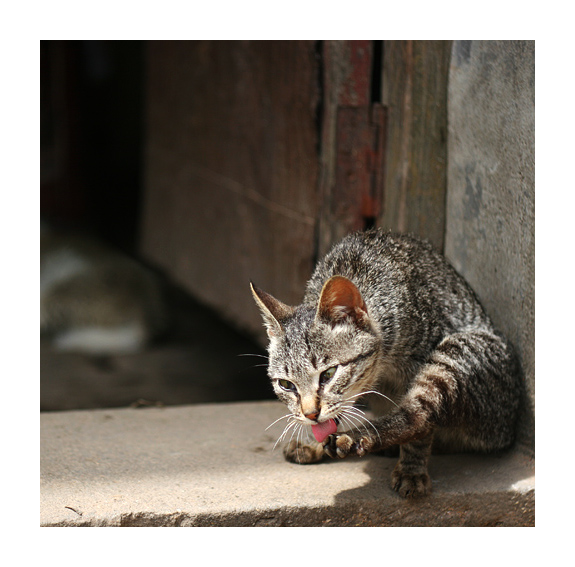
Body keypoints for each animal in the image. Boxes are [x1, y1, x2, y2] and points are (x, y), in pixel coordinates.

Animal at [252, 230, 520, 496]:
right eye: (286, 385)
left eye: (328, 374)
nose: (309, 414)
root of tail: (507, 431)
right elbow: (332, 416)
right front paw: (313, 441)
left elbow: (420, 430)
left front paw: (411, 469)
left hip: (458, 355)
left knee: (418, 417)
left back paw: (362, 439)